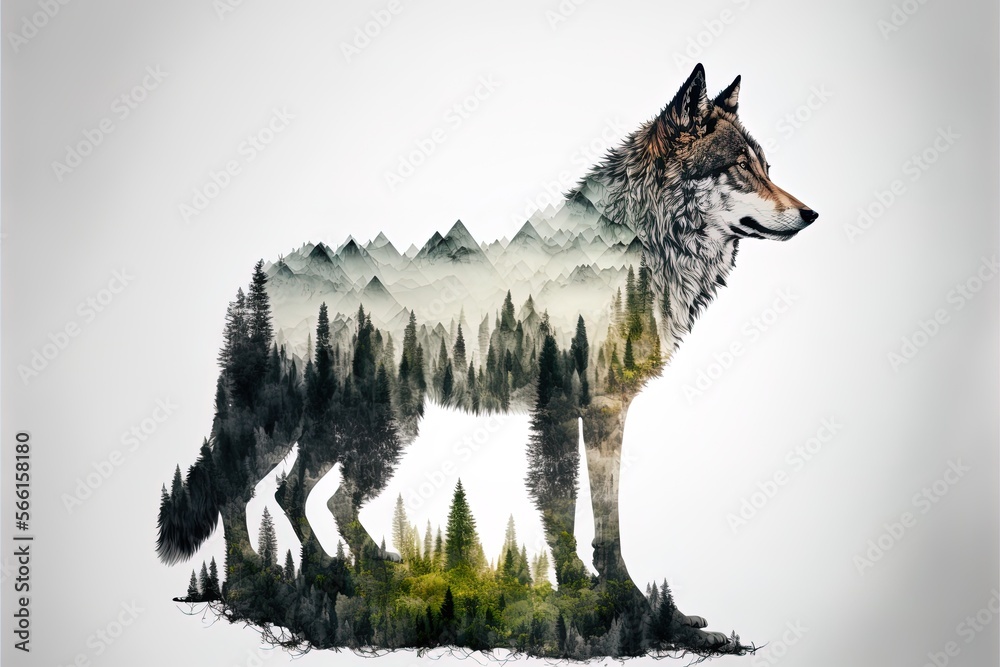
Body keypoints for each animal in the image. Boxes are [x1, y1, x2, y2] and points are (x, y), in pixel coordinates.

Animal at [156, 64, 817, 655]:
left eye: (767, 168)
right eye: (741, 167)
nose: (810, 214)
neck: (637, 250)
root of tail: (262, 282)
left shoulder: (608, 410)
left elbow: (609, 521)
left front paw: (647, 611)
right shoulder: (560, 409)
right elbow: (563, 505)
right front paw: (586, 605)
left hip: (362, 430)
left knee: (297, 495)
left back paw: (345, 574)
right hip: (328, 430)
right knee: (242, 491)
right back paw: (254, 583)